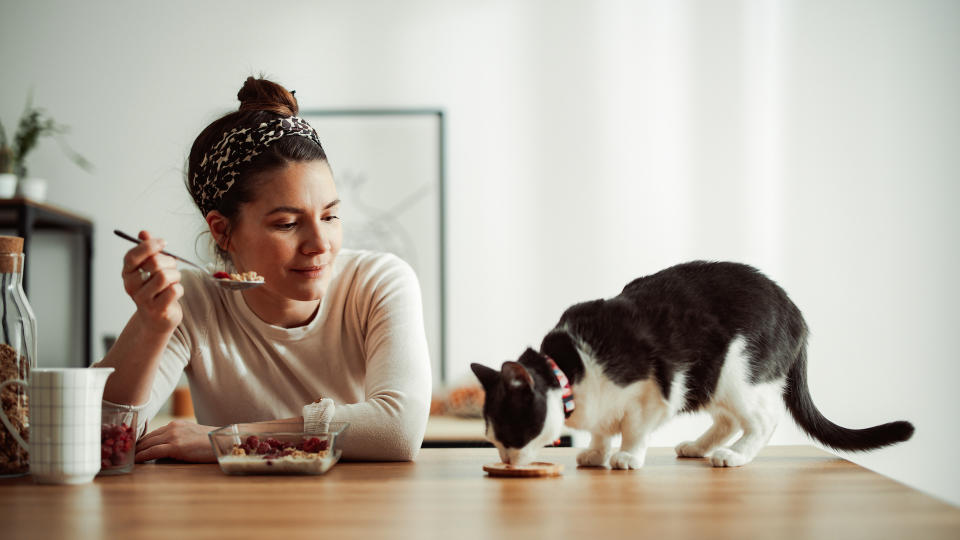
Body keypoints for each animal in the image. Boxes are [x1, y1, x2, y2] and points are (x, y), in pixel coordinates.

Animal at [472, 262, 916, 468]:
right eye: (492, 438)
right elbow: (601, 430)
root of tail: (797, 315)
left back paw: (735, 456)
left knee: (762, 420)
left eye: (509, 432)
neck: (572, 371)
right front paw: (596, 453)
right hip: (713, 381)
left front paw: (627, 457)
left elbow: (633, 428)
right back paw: (699, 447)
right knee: (728, 420)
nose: (505, 461)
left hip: (735, 373)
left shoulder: (654, 393)